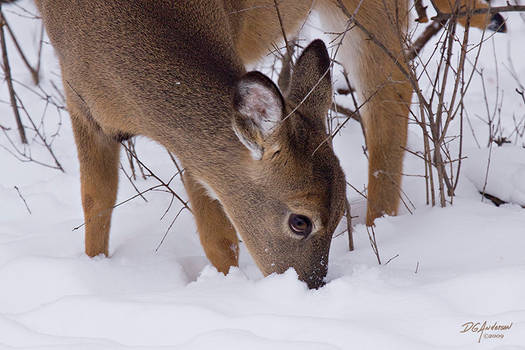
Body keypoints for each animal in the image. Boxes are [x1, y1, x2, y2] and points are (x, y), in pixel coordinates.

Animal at [3, 0, 504, 290]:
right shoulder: (79, 101)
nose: (311, 288)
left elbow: (216, 232)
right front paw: (95, 270)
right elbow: (96, 202)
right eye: (300, 221)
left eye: (339, 214)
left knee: (391, 95)